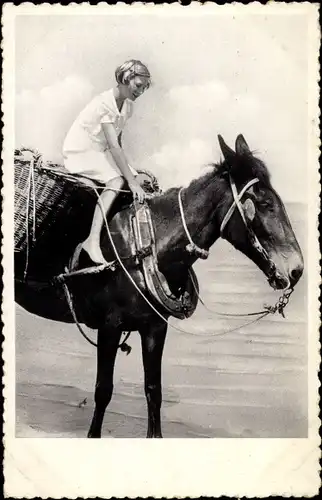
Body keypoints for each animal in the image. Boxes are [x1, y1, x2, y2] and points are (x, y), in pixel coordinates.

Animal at [15, 135, 304, 436]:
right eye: (265, 203)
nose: (296, 270)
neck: (145, 245)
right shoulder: (109, 327)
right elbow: (103, 390)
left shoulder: (155, 327)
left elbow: (154, 390)